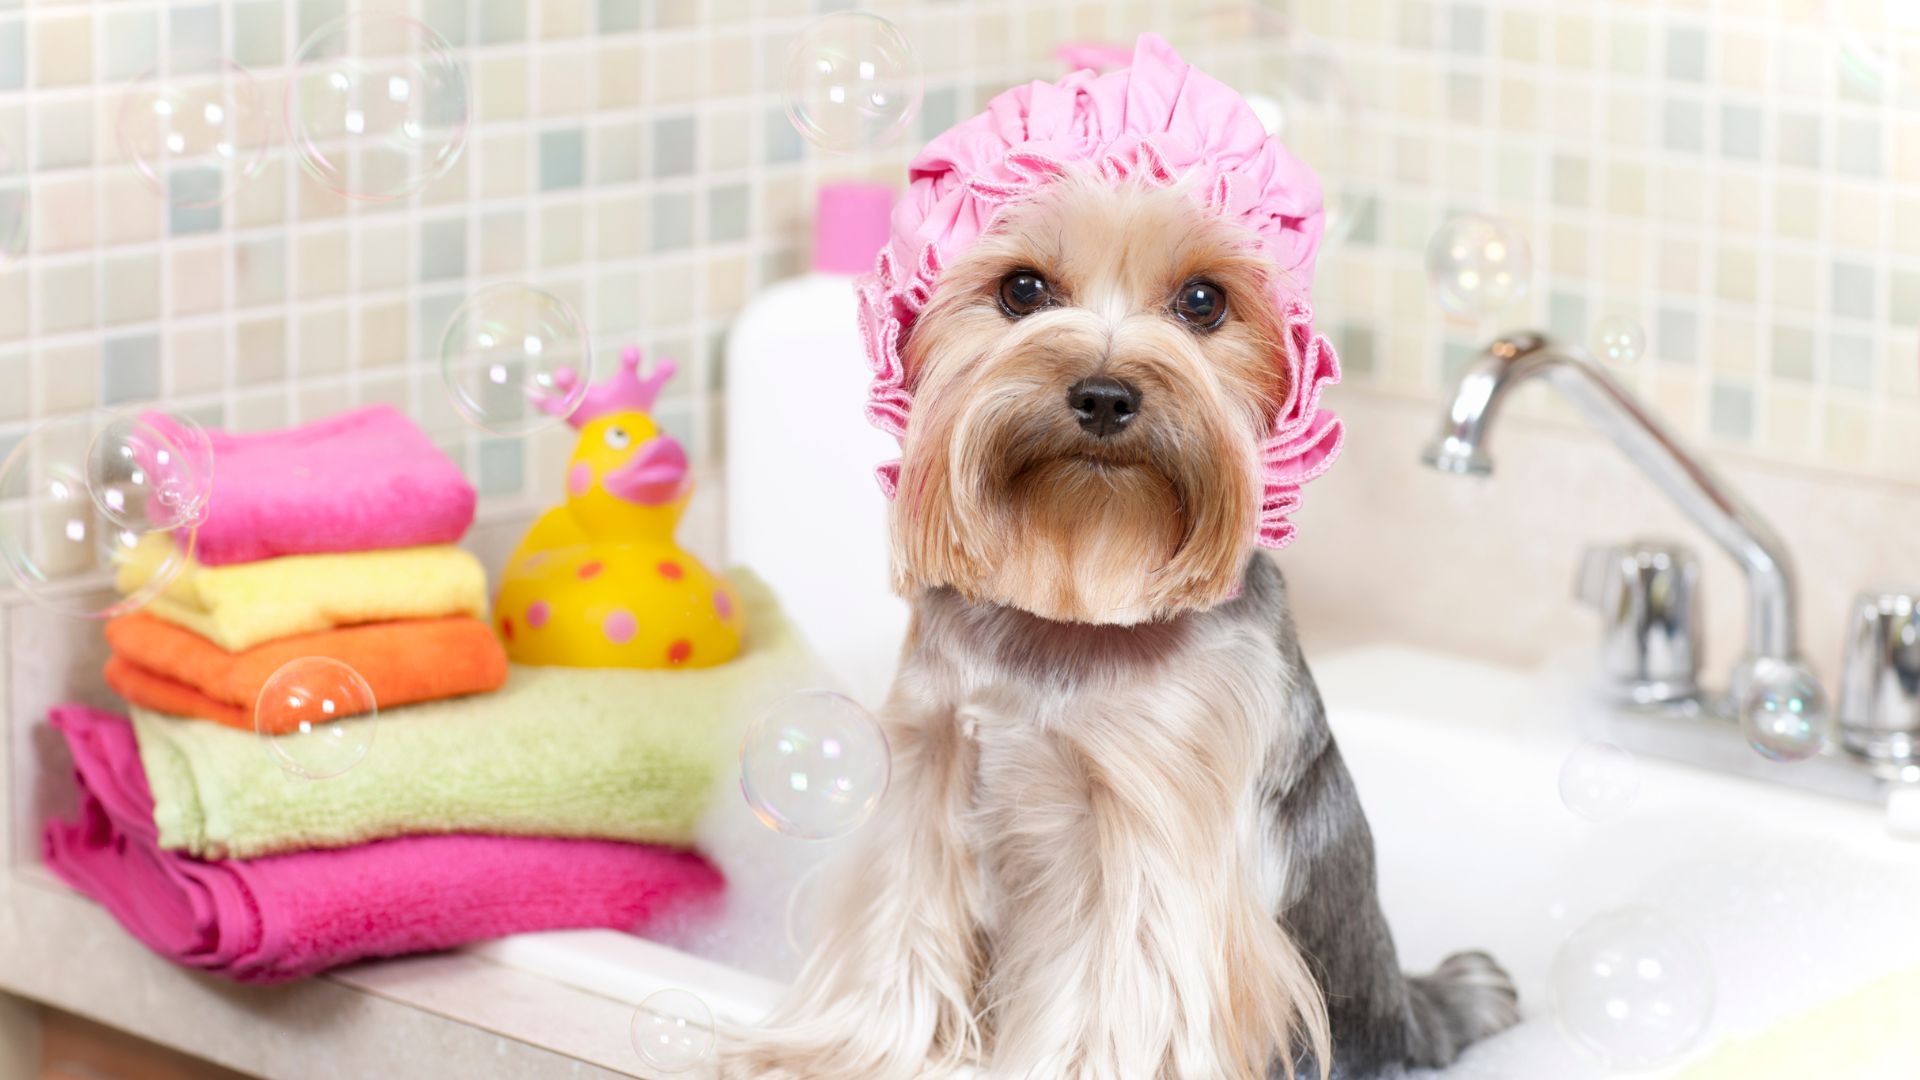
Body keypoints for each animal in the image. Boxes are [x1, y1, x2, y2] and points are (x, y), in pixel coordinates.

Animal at [718, 35, 1512, 1076]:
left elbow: (1119, 992)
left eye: (1204, 300)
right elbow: (903, 923)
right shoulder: (928, 765)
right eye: (1021, 288)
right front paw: (850, 1052)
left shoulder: (1154, 823)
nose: (1102, 393)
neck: (1077, 594)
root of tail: (1415, 1019)